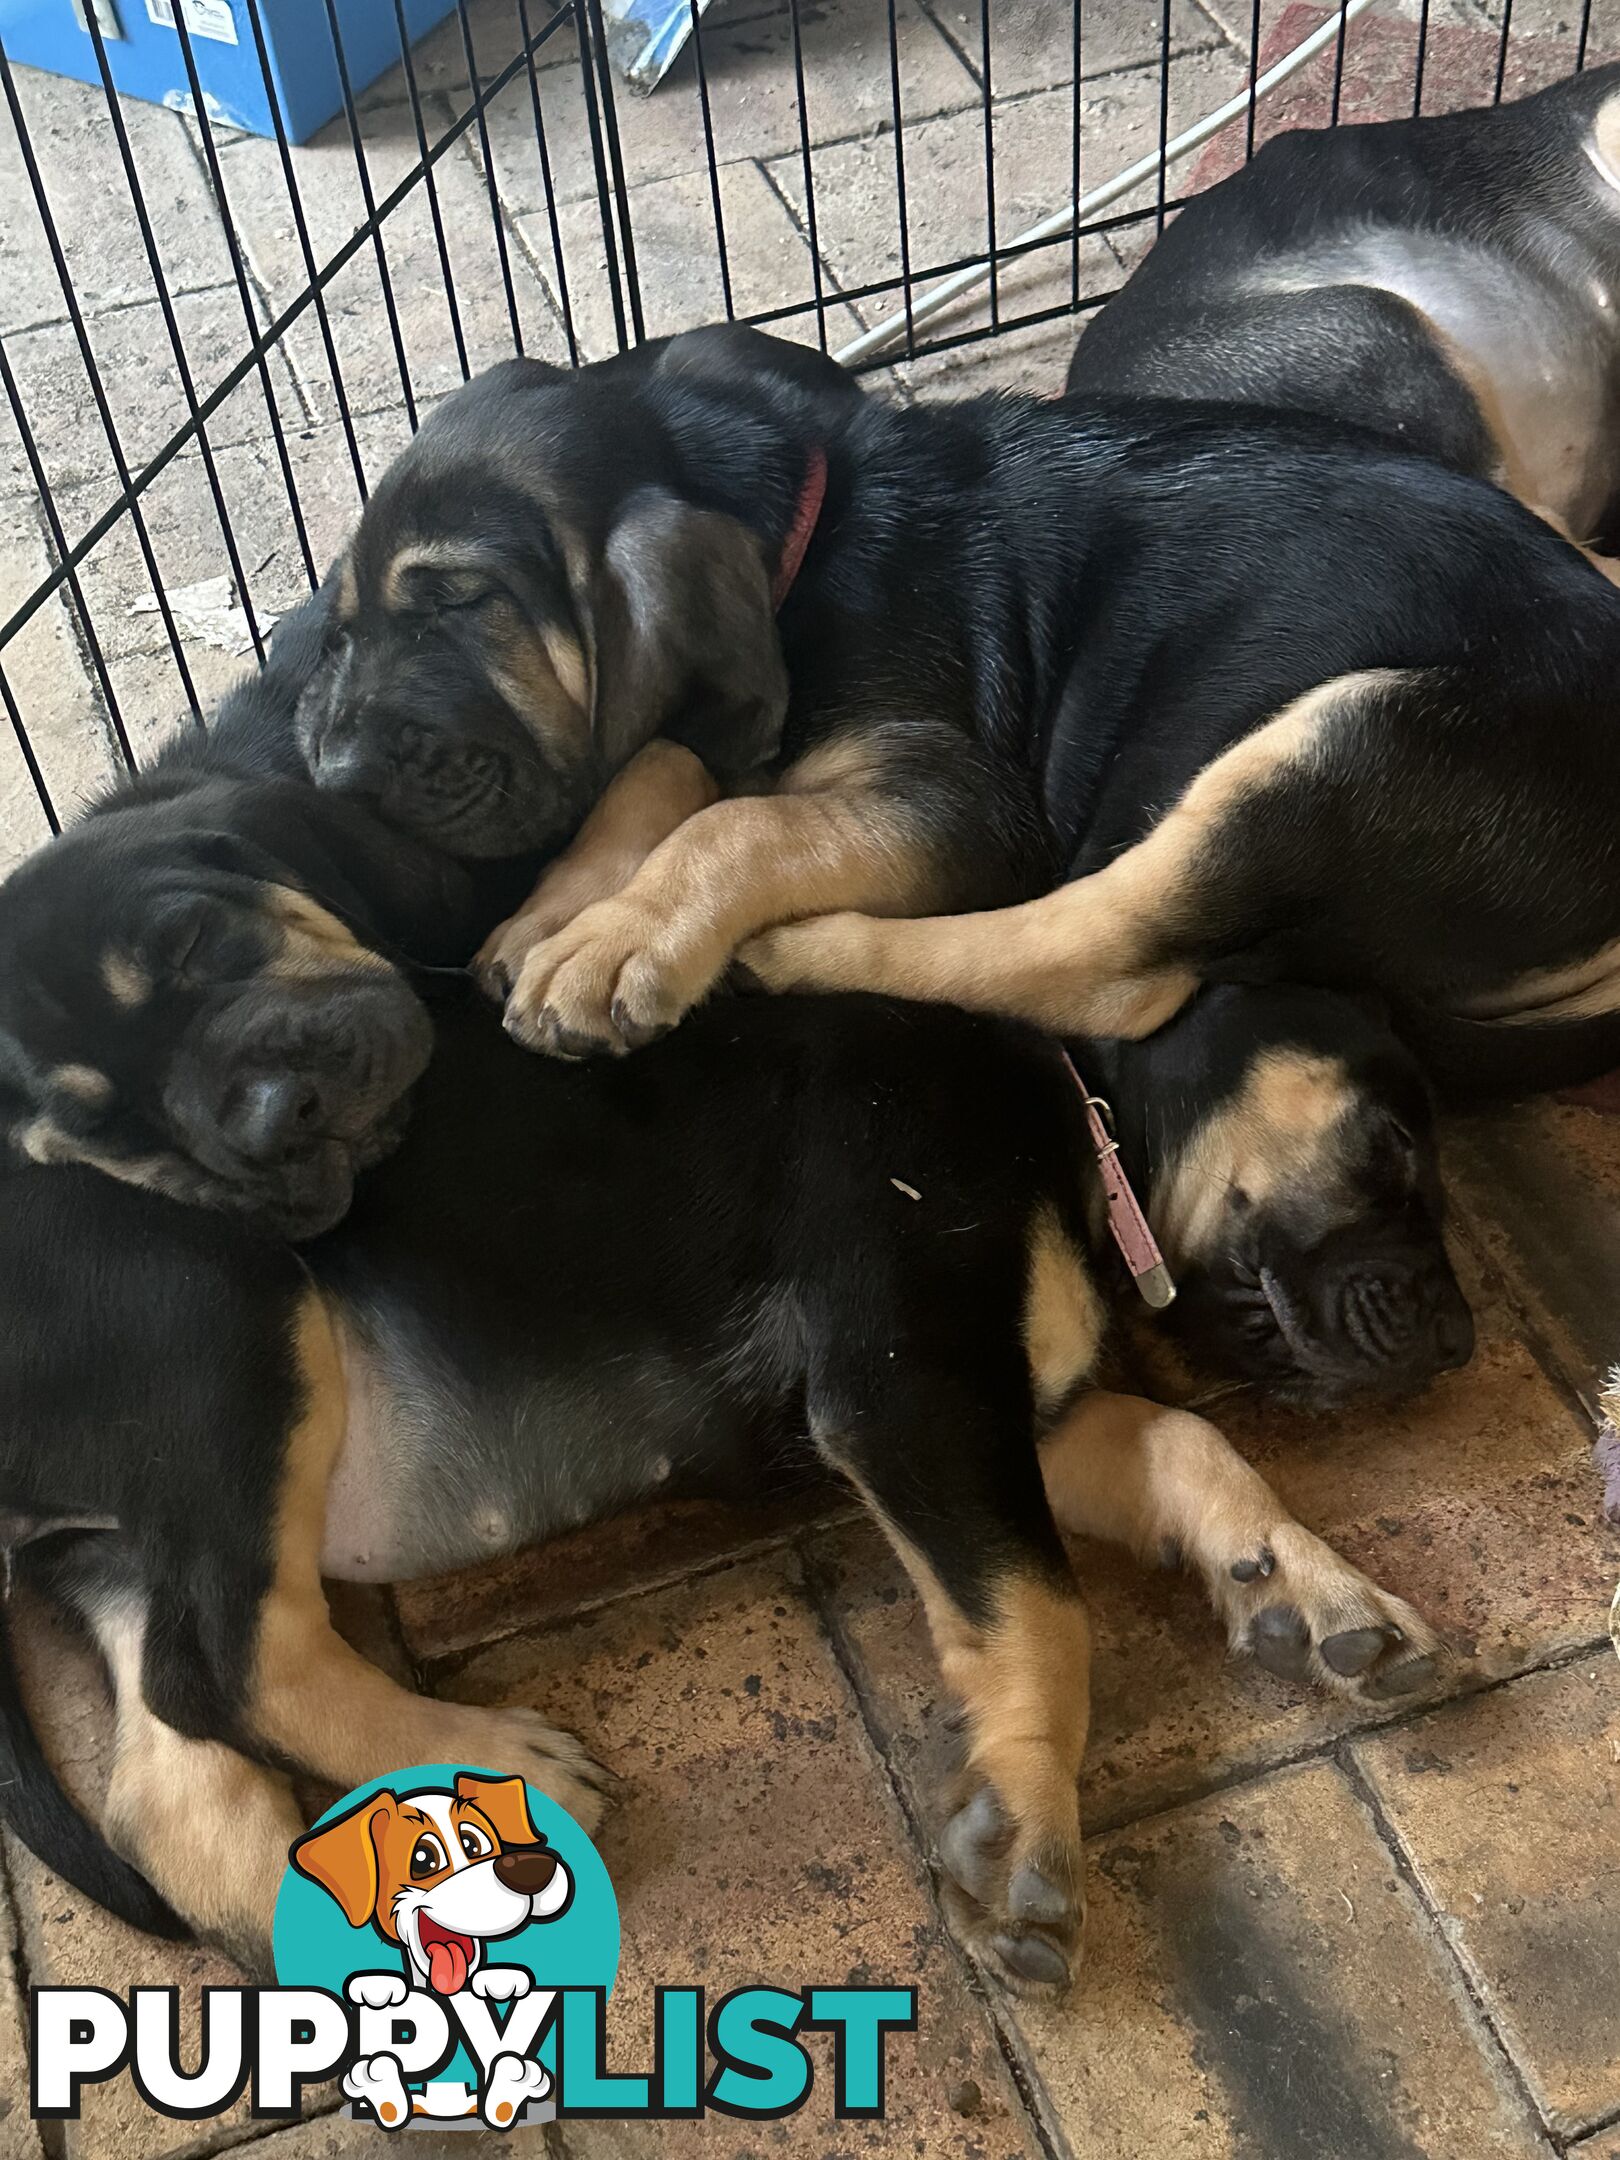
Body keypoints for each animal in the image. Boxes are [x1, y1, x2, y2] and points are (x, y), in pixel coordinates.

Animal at [0, 622, 1442, 1987]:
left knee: (168, 1773)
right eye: (1394, 1144)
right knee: (228, 1659)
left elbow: (1182, 1444)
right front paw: (1026, 1832)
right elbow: (1042, 1607)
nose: (1458, 1346)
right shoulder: (904, 1379)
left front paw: (1303, 1587)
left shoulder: (990, 1402)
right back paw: (479, 1765)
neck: (1066, 1098)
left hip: (130, 1529)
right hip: (228, 1317)